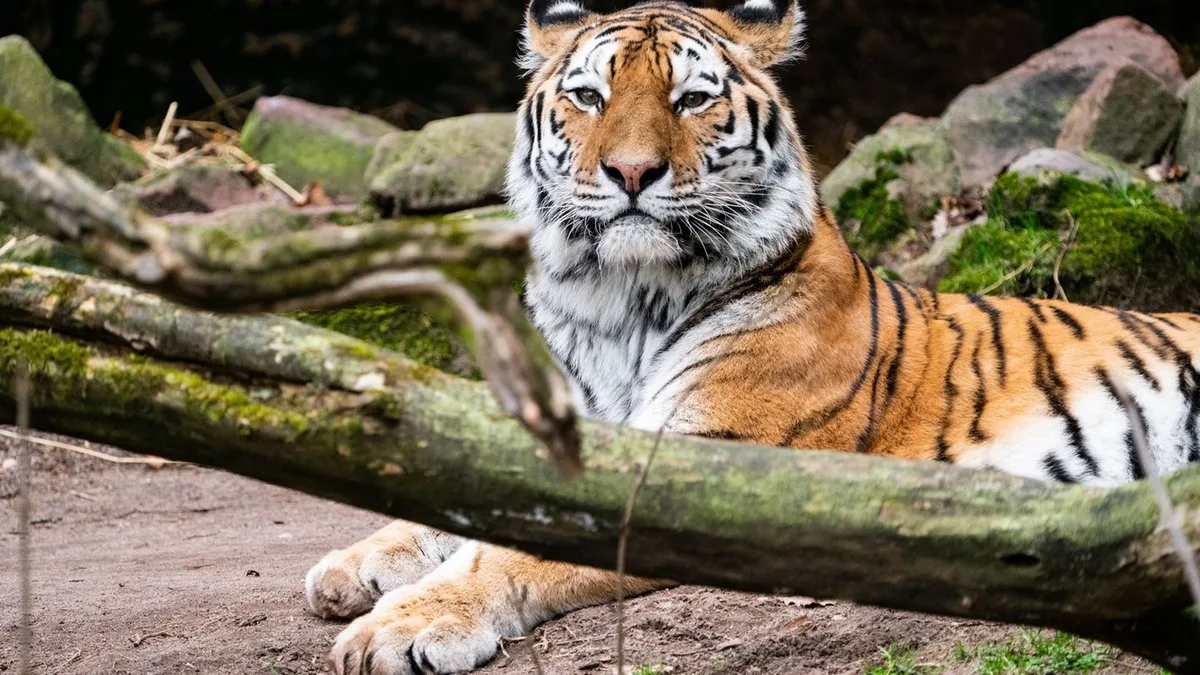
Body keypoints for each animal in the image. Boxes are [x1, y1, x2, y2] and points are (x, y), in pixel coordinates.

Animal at [302, 1, 1200, 673]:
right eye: (589, 98)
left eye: (692, 100)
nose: (632, 173)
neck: (618, 298)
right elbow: (443, 510)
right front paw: (349, 567)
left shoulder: (692, 471)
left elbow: (499, 552)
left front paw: (401, 624)